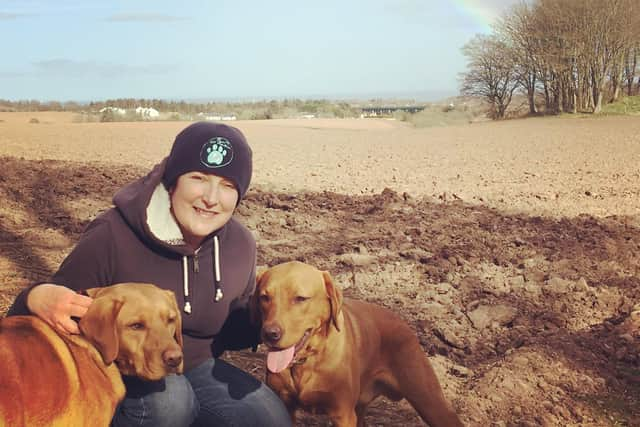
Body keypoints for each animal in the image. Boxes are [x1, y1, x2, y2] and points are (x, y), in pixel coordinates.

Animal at [252, 260, 462, 427]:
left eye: (300, 298)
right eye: (264, 297)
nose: (270, 334)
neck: (308, 361)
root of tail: (403, 323)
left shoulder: (343, 415)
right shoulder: (285, 406)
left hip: (431, 403)